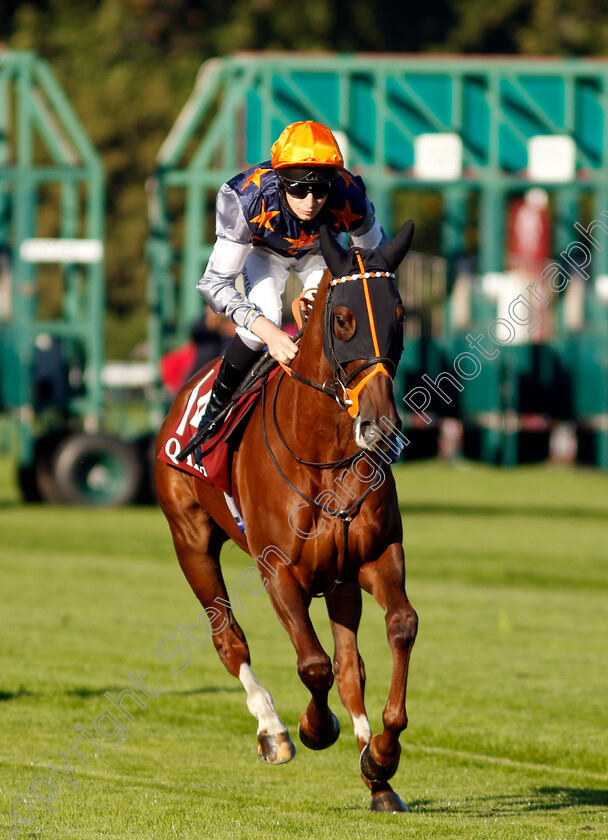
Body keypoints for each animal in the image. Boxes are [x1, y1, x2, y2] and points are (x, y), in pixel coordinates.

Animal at [154, 223, 418, 812]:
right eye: (342, 319)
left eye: (399, 315)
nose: (380, 425)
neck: (324, 453)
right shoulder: (279, 572)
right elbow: (312, 664)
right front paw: (315, 728)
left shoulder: (373, 558)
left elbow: (397, 629)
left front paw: (383, 754)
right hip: (190, 541)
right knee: (230, 640)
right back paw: (273, 731)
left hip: (340, 580)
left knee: (350, 666)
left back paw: (376, 777)